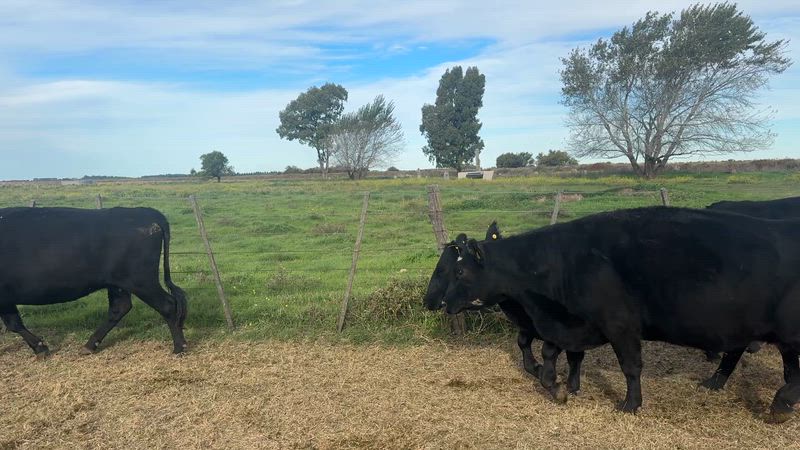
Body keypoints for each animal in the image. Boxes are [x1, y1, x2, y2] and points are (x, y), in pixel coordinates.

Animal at [0, 207, 188, 355]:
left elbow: (14, 324)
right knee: (119, 308)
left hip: (141, 280)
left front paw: (40, 348)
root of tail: (145, 211)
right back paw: (90, 345)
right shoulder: (6, 299)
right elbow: (14, 323)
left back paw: (180, 347)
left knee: (167, 305)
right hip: (118, 283)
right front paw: (40, 347)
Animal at [424, 223, 583, 400]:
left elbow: (565, 354)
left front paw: (565, 387)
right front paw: (541, 370)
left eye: (443, 270)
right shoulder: (528, 326)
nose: (427, 300)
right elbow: (524, 346)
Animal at [441, 206, 800, 422]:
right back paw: (726, 385)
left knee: (789, 371)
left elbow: (630, 367)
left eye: (459, 272)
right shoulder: (571, 323)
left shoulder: (620, 325)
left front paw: (630, 404)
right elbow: (550, 357)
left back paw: (780, 403)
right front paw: (559, 387)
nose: (442, 303)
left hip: (786, 332)